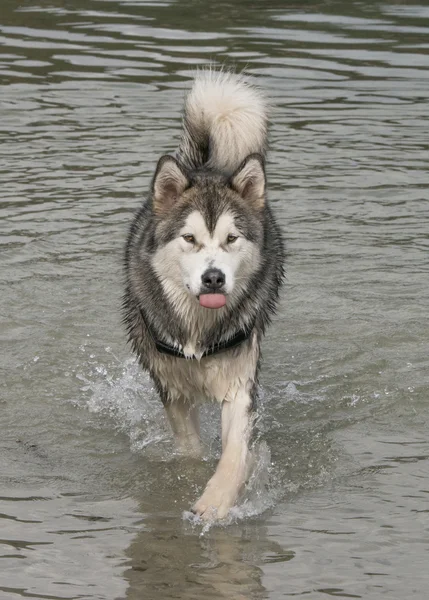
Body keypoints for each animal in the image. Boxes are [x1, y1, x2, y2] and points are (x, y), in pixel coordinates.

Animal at [123, 69, 284, 520]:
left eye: (231, 238)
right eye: (190, 239)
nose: (214, 279)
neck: (199, 328)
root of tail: (207, 166)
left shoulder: (239, 382)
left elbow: (233, 454)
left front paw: (215, 503)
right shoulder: (171, 388)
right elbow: (191, 451)